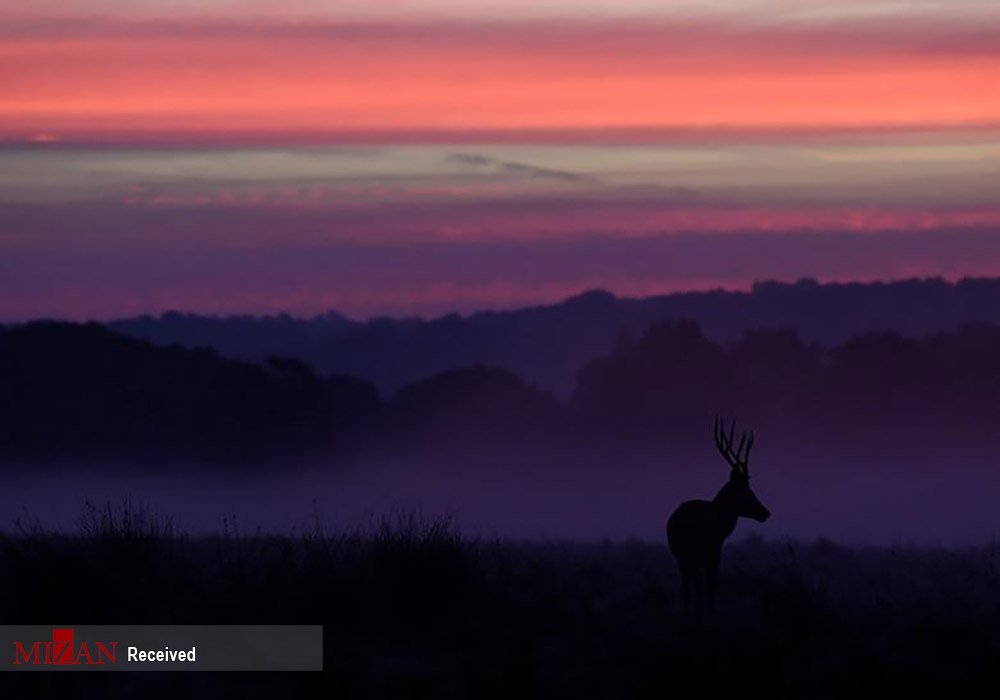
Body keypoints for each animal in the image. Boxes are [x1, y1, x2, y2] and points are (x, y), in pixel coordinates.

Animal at [668, 418, 768, 616]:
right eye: (746, 491)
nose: (766, 513)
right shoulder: (703, 556)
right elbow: (705, 589)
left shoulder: (713, 556)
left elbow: (710, 589)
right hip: (685, 558)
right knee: (690, 589)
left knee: (692, 588)